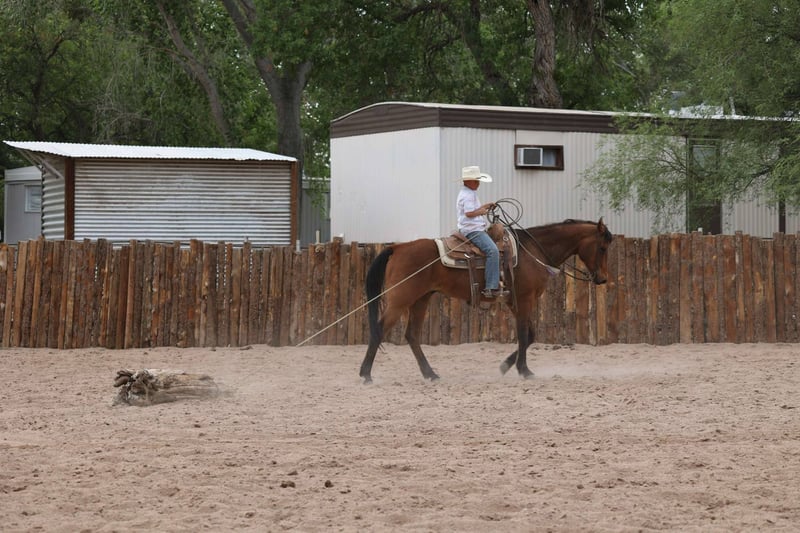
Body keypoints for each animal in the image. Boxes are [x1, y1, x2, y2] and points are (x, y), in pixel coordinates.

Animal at [359, 216, 613, 383]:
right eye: (602, 247)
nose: (602, 278)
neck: (533, 251)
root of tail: (397, 248)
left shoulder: (514, 301)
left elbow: (530, 335)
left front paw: (505, 367)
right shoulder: (525, 299)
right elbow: (524, 335)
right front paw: (524, 370)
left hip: (421, 299)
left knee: (412, 335)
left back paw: (430, 374)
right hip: (400, 300)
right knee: (379, 329)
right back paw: (366, 374)